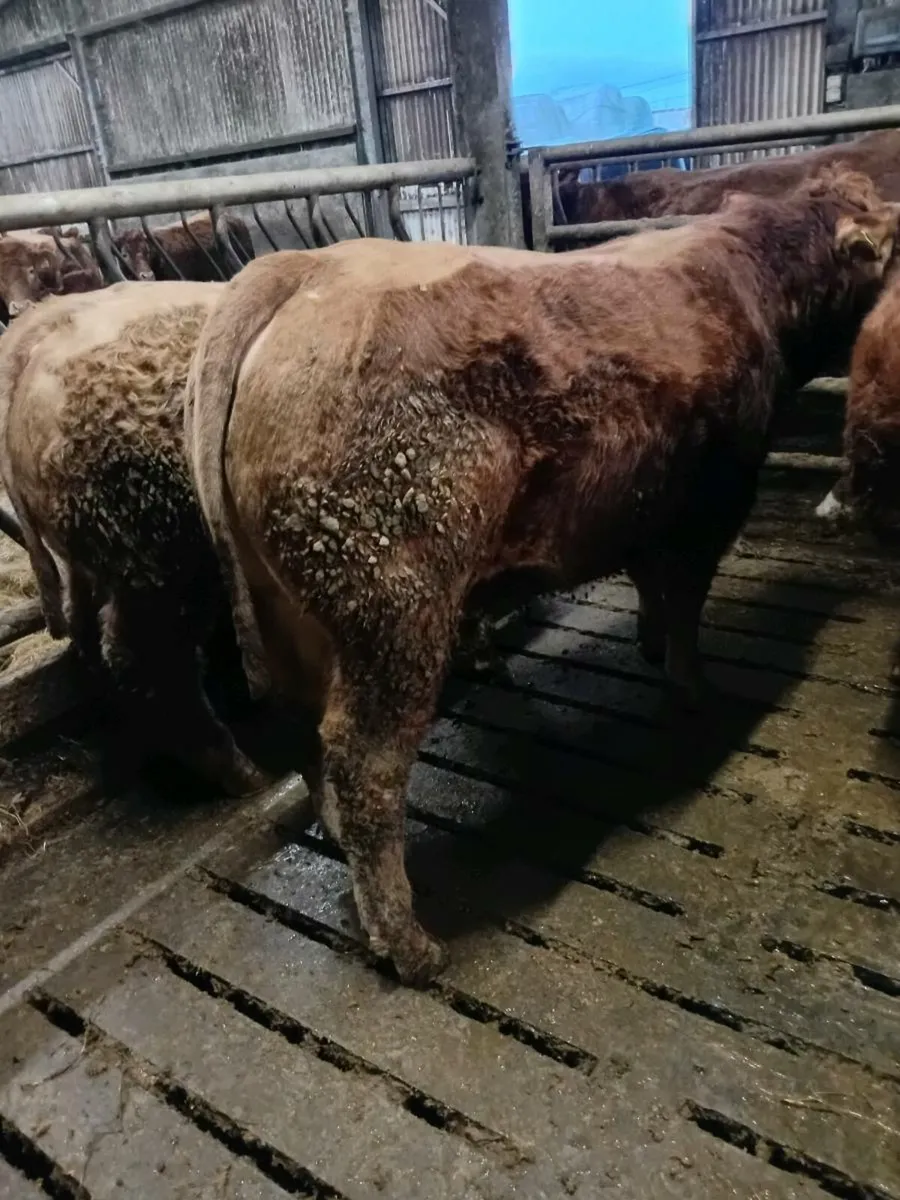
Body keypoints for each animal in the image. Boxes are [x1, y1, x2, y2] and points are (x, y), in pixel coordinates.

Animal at [185, 166, 900, 986]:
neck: (745, 276)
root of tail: (306, 268)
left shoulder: (643, 506)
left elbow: (655, 589)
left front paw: (652, 645)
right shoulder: (714, 496)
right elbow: (687, 600)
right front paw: (693, 686)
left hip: (292, 609)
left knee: (307, 730)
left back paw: (336, 840)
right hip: (394, 605)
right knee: (367, 764)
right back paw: (409, 943)